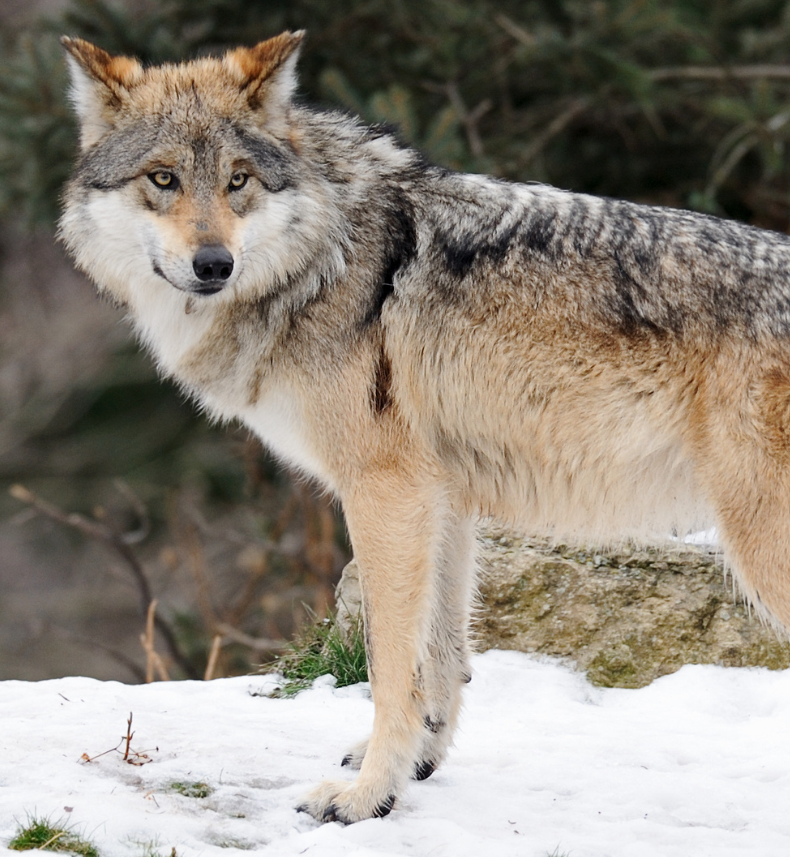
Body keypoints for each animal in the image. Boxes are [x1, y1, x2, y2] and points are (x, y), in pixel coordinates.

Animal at [62, 30, 790, 824]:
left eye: (238, 180)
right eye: (163, 179)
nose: (213, 263)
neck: (328, 254)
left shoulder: (386, 492)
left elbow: (388, 665)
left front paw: (363, 797)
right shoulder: (443, 499)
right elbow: (438, 658)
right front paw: (416, 765)